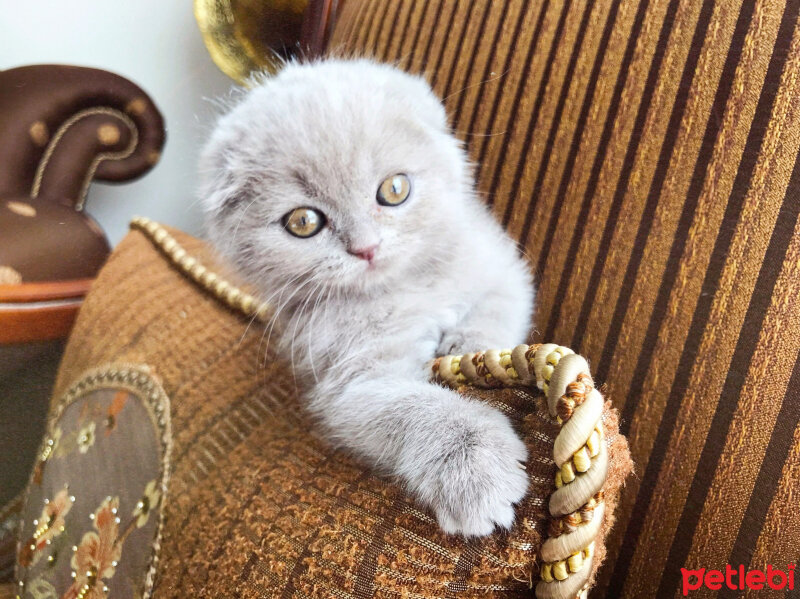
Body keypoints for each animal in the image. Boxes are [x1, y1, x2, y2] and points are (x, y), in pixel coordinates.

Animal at [202, 59, 536, 540]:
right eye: (303, 222)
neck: (404, 285)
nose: (366, 248)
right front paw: (476, 470)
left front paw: (470, 343)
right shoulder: (351, 379)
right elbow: (413, 409)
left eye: (394, 190)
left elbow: (499, 303)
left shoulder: (501, 266)